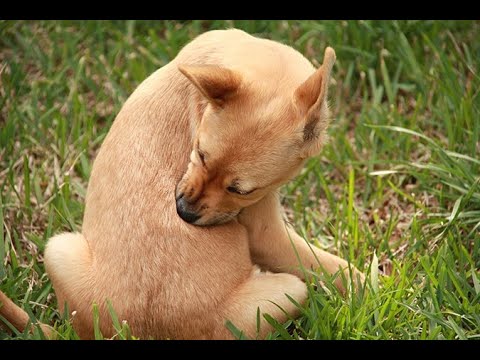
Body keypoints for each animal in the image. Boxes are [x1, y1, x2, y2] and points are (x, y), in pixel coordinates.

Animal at [0, 28, 362, 340]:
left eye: (239, 190)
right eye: (199, 153)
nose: (183, 213)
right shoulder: (265, 233)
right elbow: (334, 267)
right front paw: (370, 285)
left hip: (59, 252)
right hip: (290, 289)